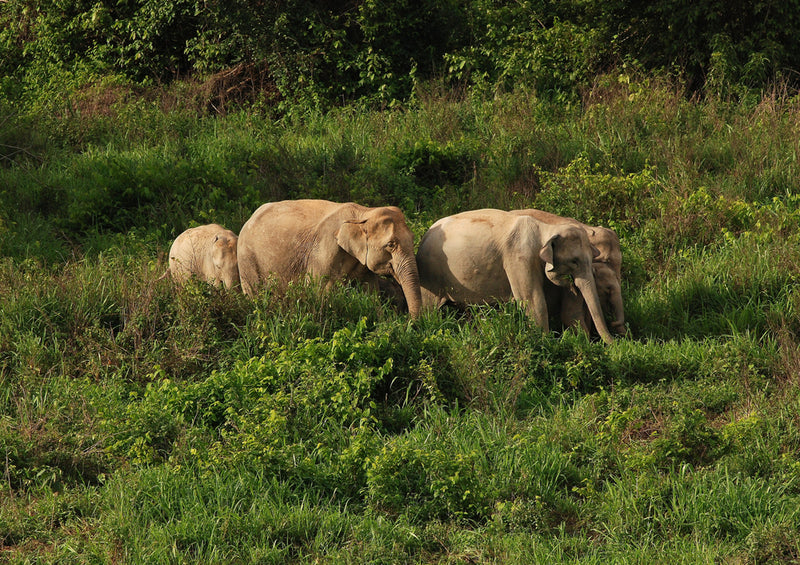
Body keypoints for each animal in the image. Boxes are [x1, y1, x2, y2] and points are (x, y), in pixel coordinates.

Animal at [238, 198, 424, 318]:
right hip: (247, 260)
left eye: (413, 239)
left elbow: (370, 292)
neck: (364, 213)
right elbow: (319, 293)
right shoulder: (325, 251)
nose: (407, 321)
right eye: (391, 245)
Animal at [416, 208, 616, 344]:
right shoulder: (519, 257)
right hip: (430, 274)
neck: (546, 228)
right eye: (574, 261)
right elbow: (533, 301)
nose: (616, 344)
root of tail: (426, 233)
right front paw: (546, 344)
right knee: (429, 308)